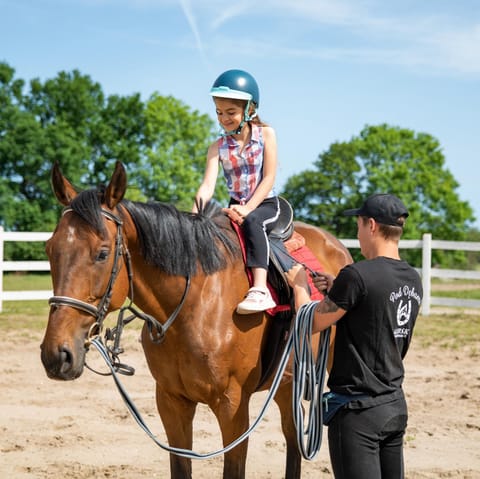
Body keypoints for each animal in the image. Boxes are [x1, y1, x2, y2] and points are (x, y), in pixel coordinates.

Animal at [39, 162, 350, 479]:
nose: (57, 354)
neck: (193, 306)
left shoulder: (233, 407)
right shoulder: (171, 402)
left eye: (102, 253)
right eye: (50, 249)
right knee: (292, 437)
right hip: (288, 382)